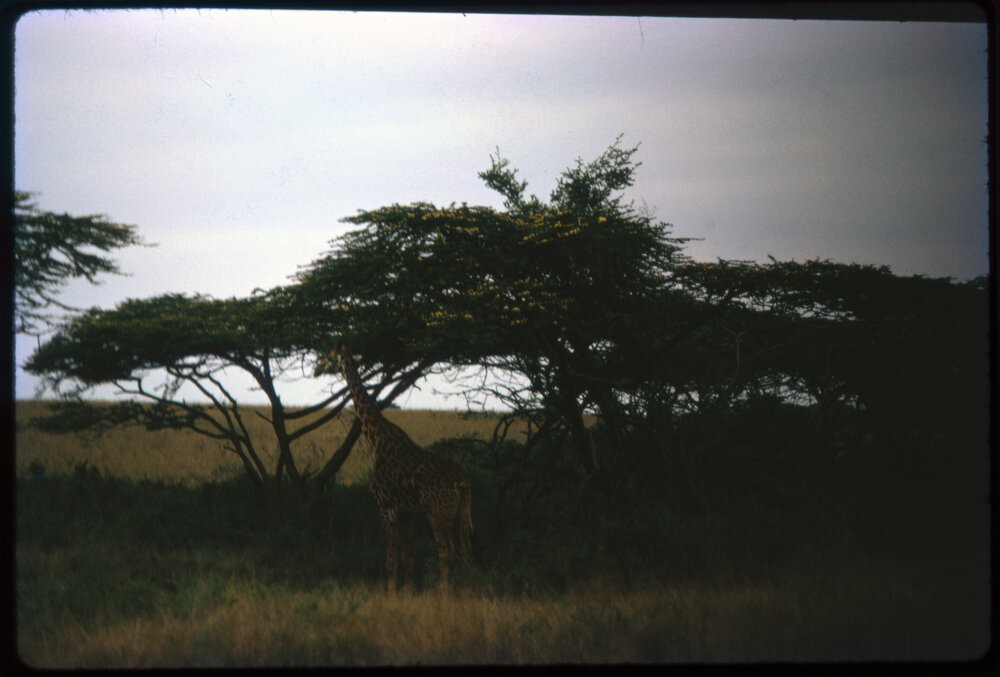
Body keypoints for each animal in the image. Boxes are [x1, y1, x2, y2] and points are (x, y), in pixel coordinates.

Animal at [315, 344, 473, 592]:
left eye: (330, 357)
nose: (316, 368)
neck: (376, 438)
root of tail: (462, 481)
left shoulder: (386, 506)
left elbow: (391, 561)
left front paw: (391, 594)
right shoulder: (407, 513)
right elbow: (407, 559)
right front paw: (407, 592)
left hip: (438, 513)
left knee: (447, 553)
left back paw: (443, 593)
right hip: (461, 513)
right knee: (465, 552)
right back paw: (466, 590)